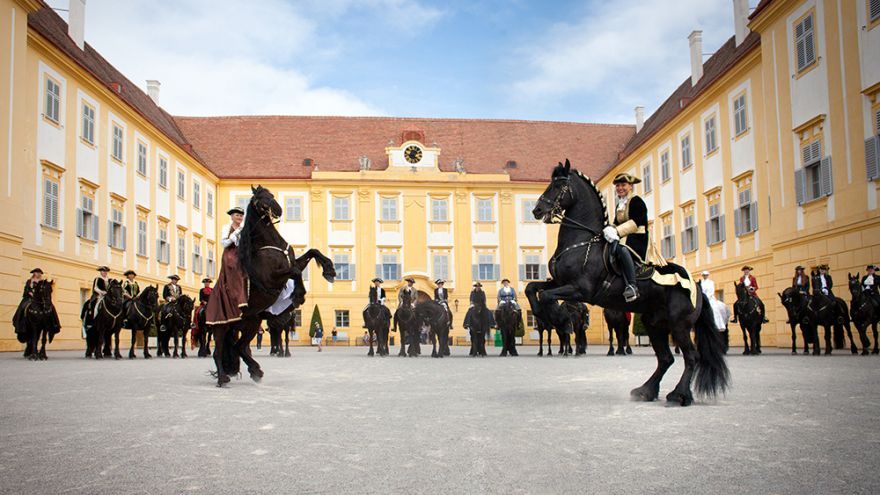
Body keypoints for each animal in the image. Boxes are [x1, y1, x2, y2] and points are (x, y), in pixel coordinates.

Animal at [211, 186, 336, 388]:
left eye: (271, 194)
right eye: (260, 198)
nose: (278, 210)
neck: (270, 244)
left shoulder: (293, 261)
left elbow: (311, 252)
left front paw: (329, 270)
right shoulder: (271, 279)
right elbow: (295, 272)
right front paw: (298, 295)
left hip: (250, 324)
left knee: (239, 348)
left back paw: (256, 372)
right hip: (221, 328)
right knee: (218, 352)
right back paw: (223, 378)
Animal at [524, 163, 724, 406]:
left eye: (559, 185)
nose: (537, 210)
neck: (582, 242)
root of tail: (695, 285)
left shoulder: (579, 290)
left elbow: (546, 296)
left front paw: (551, 317)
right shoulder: (558, 282)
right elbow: (531, 288)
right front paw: (538, 312)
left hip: (679, 325)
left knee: (691, 356)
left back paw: (680, 395)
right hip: (654, 323)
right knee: (665, 358)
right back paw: (646, 390)